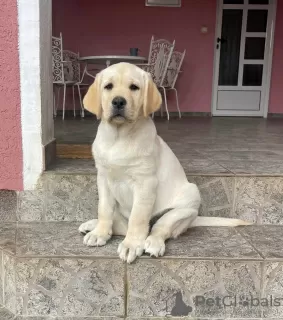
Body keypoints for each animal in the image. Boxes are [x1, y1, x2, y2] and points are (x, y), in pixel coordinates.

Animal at [79, 62, 252, 262]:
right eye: (108, 86)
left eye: (134, 87)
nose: (119, 102)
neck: (119, 136)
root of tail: (193, 220)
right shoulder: (103, 178)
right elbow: (104, 209)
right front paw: (100, 233)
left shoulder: (145, 183)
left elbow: (138, 217)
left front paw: (132, 245)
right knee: (123, 225)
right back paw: (93, 226)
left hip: (185, 204)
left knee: (157, 228)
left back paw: (152, 243)